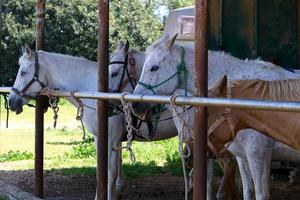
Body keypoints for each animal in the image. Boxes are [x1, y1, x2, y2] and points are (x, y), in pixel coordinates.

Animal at [134, 34, 300, 200]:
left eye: (154, 67)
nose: (136, 105)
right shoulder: (242, 157)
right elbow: (247, 191)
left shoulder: (259, 154)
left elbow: (260, 194)